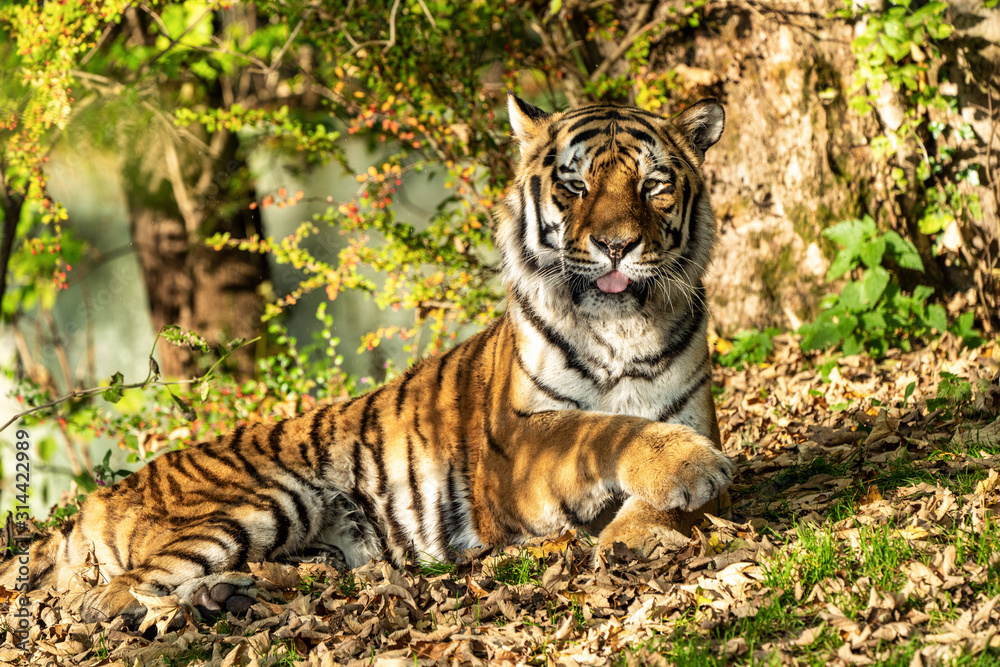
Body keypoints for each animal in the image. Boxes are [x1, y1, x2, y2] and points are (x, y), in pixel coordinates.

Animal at [1, 94, 733, 627]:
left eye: (653, 185)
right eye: (576, 186)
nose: (617, 245)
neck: (621, 328)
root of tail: (96, 498)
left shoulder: (690, 410)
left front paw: (640, 533)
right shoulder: (519, 444)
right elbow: (605, 429)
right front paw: (686, 471)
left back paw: (235, 594)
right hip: (265, 498)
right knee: (113, 596)